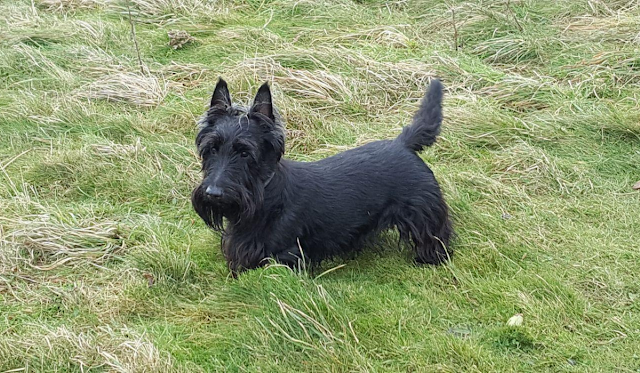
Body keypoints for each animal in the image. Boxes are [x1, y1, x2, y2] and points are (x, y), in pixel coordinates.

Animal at [192, 77, 452, 274]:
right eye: (211, 148)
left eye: (245, 153)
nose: (213, 193)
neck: (264, 196)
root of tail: (402, 143)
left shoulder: (286, 254)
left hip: (423, 213)